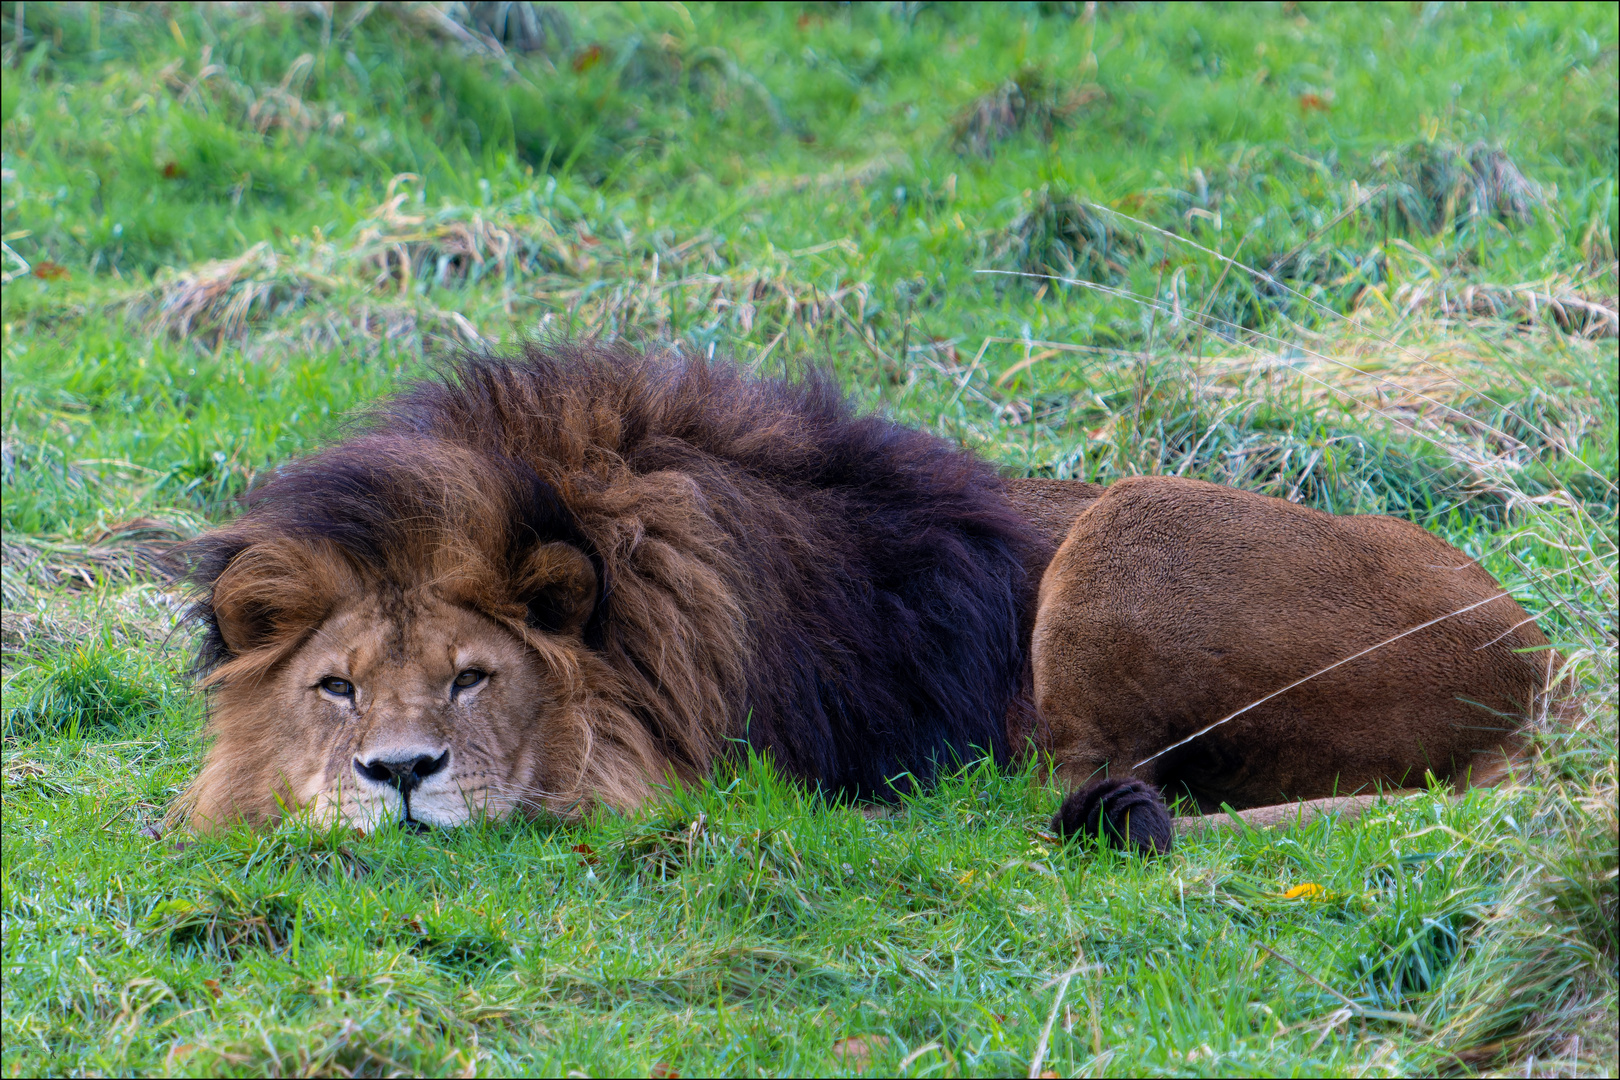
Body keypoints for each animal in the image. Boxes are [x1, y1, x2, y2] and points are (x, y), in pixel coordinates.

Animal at [177, 346, 1555, 854]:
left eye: (474, 677)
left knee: (1094, 788)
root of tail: (1538, 663)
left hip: (1126, 523)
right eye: (336, 688)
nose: (401, 776)